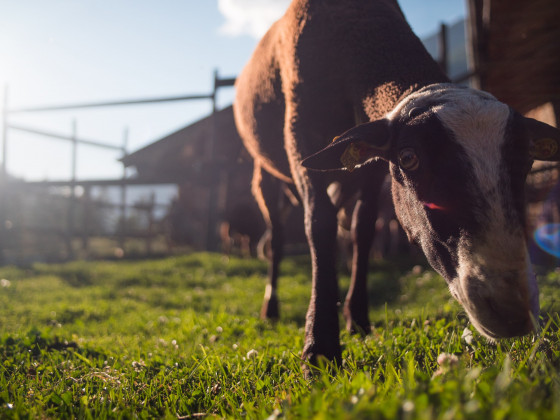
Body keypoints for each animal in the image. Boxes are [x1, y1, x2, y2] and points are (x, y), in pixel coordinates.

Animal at [232, 0, 560, 368]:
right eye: (408, 157)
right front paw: (320, 347)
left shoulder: (372, 169)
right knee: (276, 237)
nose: (511, 309)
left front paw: (357, 319)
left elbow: (363, 230)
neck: (356, 25)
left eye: (527, 159)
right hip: (265, 171)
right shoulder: (302, 140)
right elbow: (319, 225)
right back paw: (271, 307)